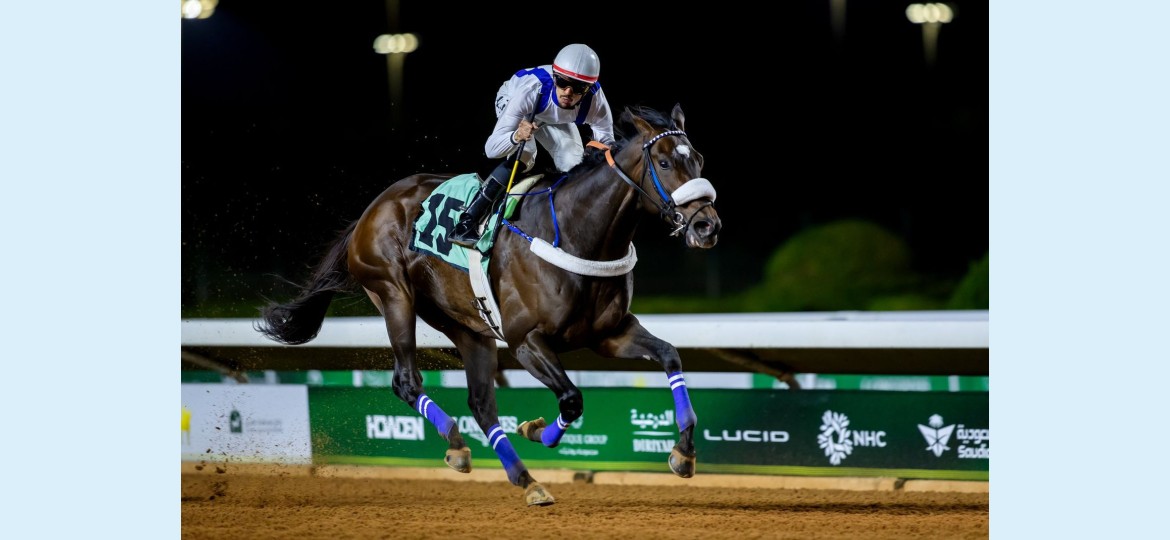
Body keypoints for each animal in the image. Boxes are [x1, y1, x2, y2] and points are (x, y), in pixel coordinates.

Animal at [256, 104, 721, 506]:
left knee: (481, 404)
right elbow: (572, 398)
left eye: (698, 158)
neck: (577, 233)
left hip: (467, 326)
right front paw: (536, 430)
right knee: (407, 381)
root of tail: (370, 210)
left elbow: (670, 356)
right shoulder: (525, 341)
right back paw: (457, 443)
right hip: (393, 294)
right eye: (664, 162)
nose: (707, 226)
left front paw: (684, 453)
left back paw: (526, 480)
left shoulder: (608, 334)